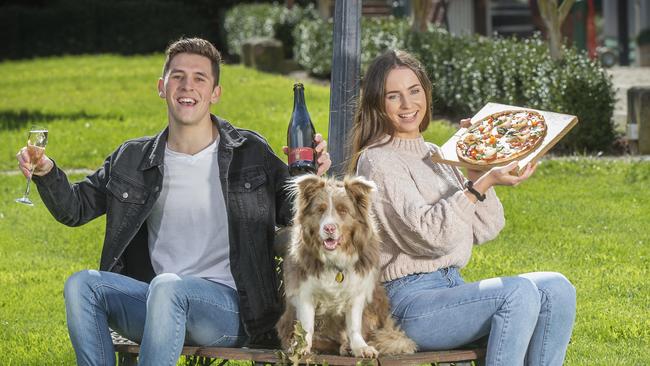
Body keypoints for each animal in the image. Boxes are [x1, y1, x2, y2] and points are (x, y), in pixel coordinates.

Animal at [274, 174, 416, 358]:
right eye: (320, 210)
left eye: (343, 210)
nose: (329, 228)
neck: (334, 259)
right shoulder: (304, 291)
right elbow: (306, 326)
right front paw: (302, 348)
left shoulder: (357, 292)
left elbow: (354, 326)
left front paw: (360, 347)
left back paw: (347, 346)